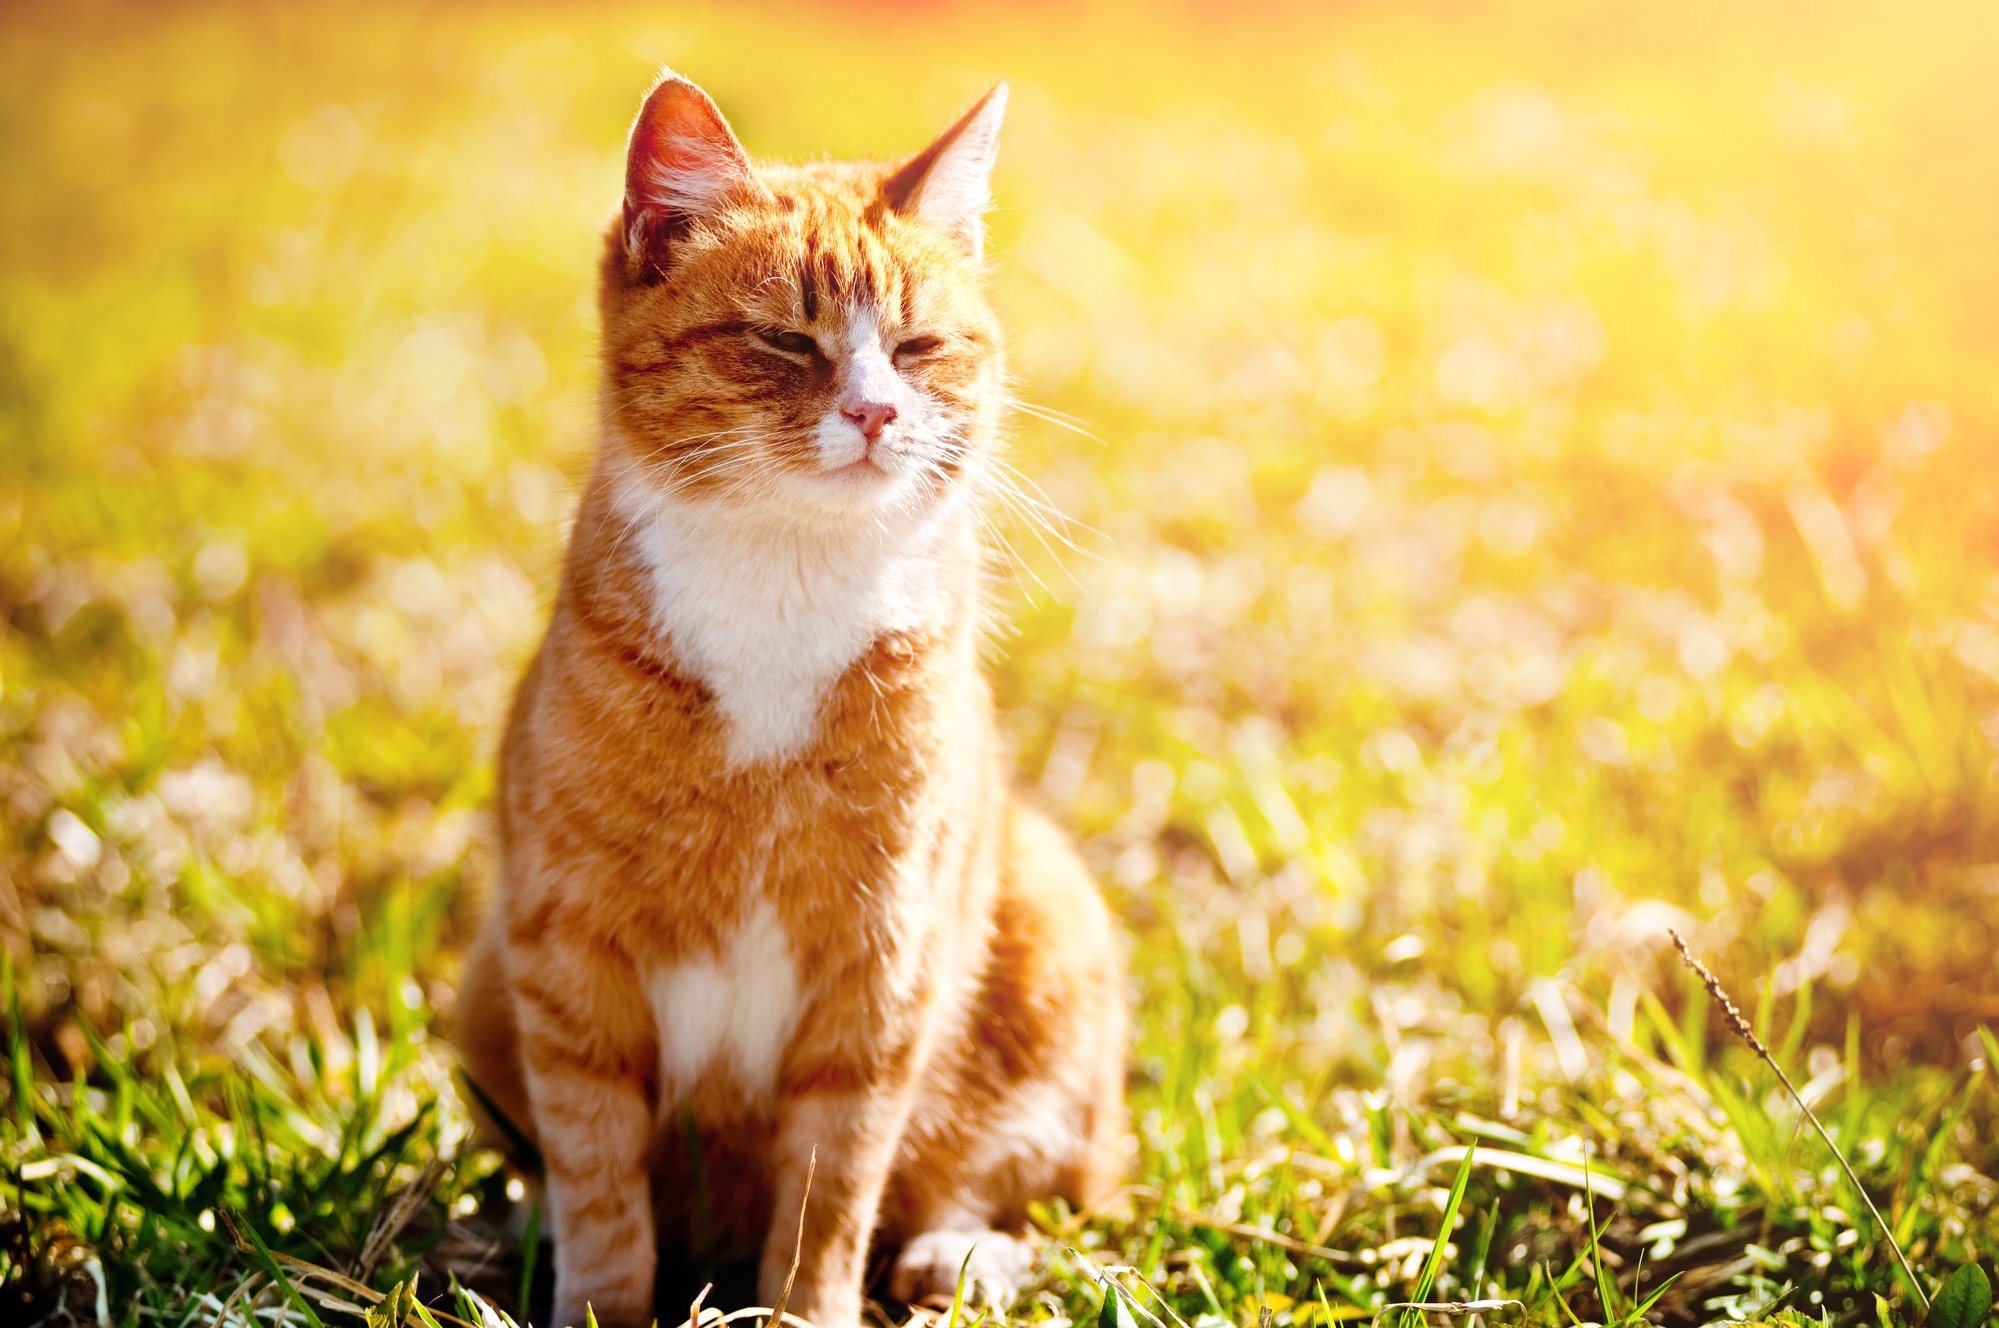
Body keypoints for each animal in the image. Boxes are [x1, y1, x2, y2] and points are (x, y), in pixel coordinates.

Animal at [457, 70, 1135, 1328]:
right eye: (783, 337)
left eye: (915, 348)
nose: (874, 413)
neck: (783, 581)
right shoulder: (565, 950)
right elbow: (596, 1168)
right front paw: (599, 1301)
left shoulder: (881, 963)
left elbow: (834, 1182)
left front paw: (808, 1306)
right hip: (482, 985)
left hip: (1052, 915)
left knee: (1035, 1181)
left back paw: (960, 1254)